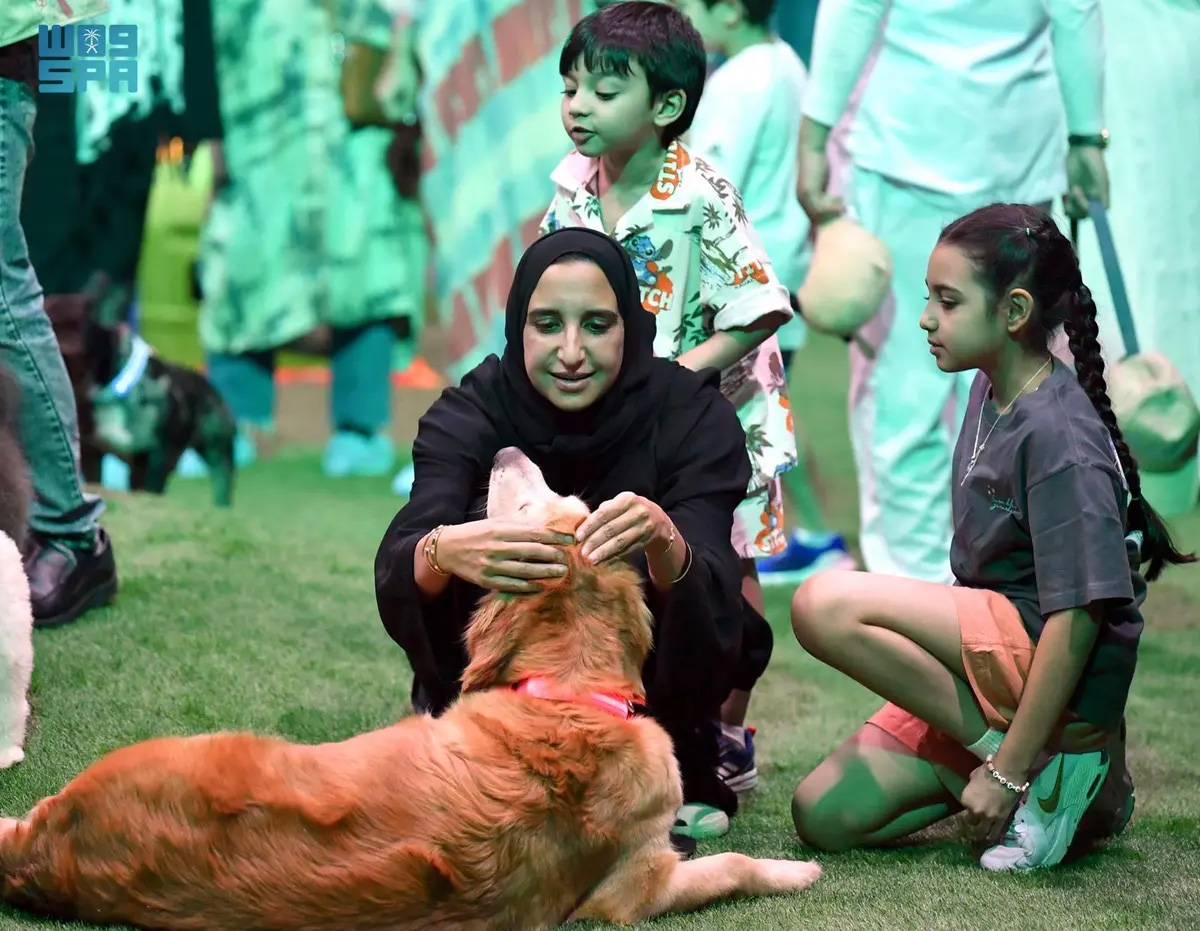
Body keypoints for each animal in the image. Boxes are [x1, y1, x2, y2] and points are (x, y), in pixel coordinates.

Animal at [0, 448, 820, 929]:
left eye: (542, 502)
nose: (507, 447)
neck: (566, 696)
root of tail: (52, 849)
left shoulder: (638, 885)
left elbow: (729, 863)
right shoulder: (636, 890)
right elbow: (729, 866)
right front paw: (800, 868)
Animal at [45, 276, 237, 507]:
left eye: (69, 334)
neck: (112, 390)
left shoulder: (154, 457)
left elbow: (150, 487)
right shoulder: (94, 453)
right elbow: (96, 481)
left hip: (217, 448)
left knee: (221, 477)